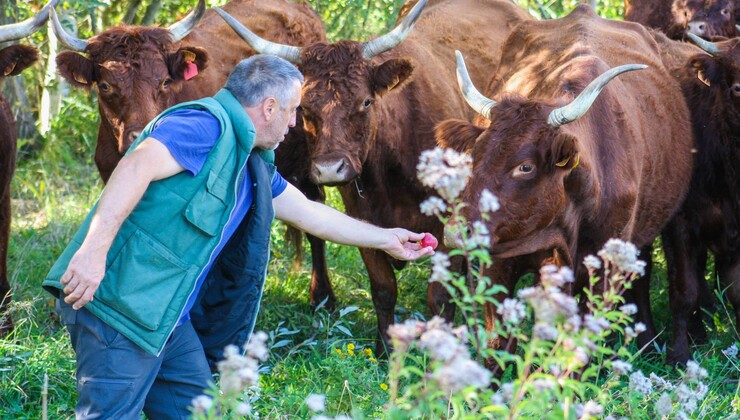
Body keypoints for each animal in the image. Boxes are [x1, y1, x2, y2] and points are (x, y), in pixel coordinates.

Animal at [214, 0, 532, 354]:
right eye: (305, 108)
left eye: (365, 101)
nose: (330, 167)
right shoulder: (364, 217)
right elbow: (383, 288)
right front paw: (384, 351)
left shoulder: (451, 225)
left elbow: (439, 295)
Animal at [434, 4, 692, 370]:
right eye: (475, 154)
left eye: (525, 167)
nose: (458, 232)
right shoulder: (496, 262)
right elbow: (499, 343)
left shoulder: (604, 272)